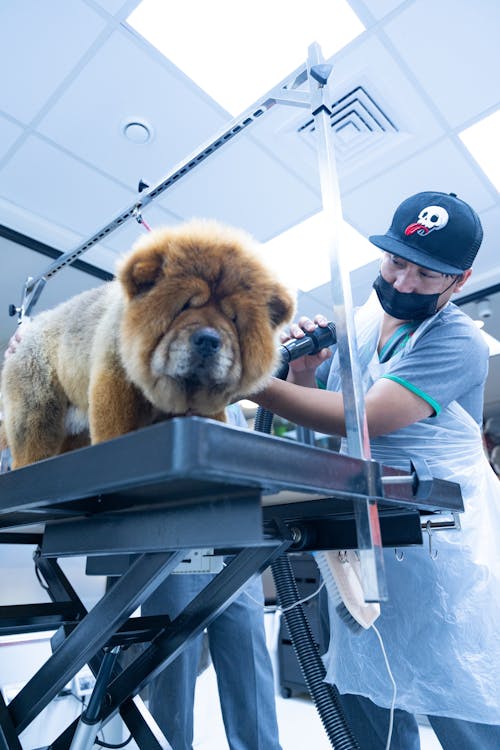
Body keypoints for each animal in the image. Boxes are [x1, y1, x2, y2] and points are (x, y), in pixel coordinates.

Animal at [1, 220, 294, 470]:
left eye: (233, 319)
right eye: (184, 306)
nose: (209, 340)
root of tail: (28, 330)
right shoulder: (115, 382)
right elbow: (114, 429)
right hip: (37, 409)